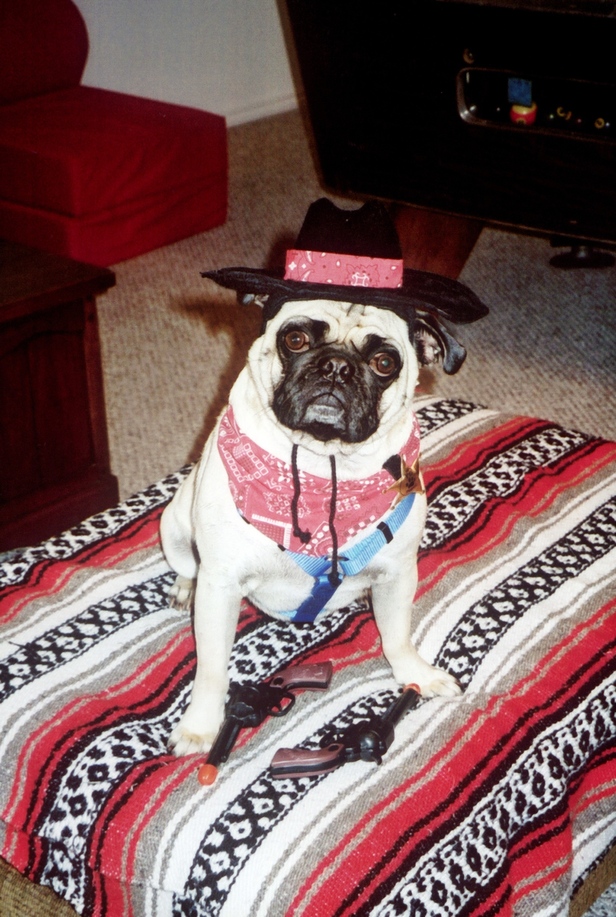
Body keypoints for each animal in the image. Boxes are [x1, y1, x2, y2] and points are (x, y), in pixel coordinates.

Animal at [160, 199, 488, 756]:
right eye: (295, 339)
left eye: (384, 362)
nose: (336, 366)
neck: (322, 466)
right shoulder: (221, 586)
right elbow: (211, 669)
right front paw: (202, 725)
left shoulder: (398, 573)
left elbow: (397, 634)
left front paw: (414, 674)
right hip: (175, 526)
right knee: (187, 566)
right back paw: (184, 586)